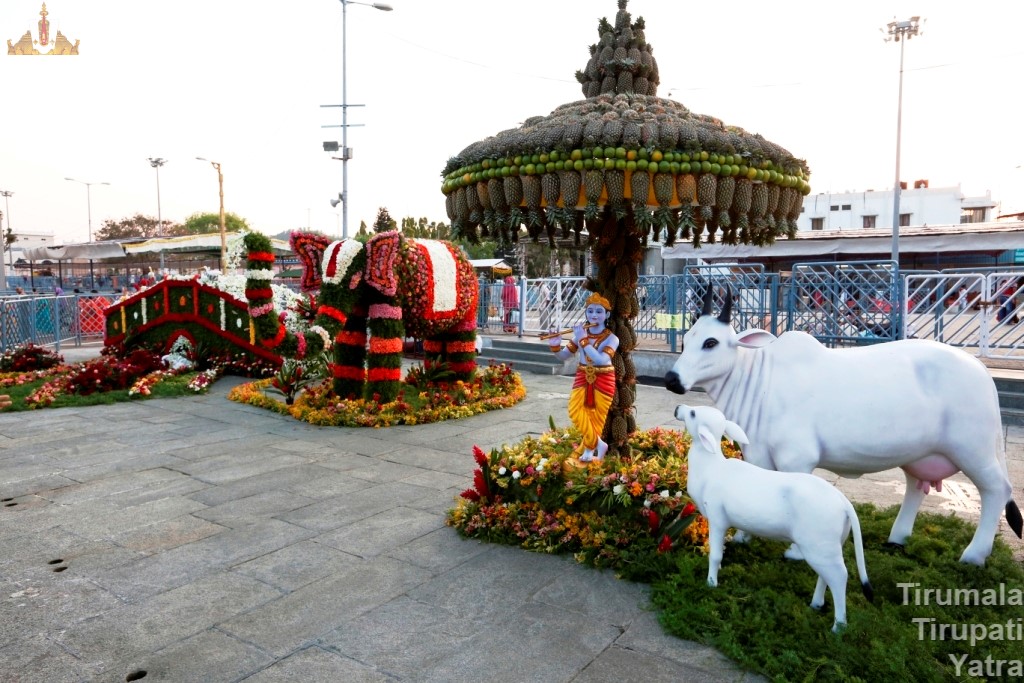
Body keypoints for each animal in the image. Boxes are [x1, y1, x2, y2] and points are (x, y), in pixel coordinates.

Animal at [243, 231, 479, 401]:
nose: (252, 241)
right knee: (436, 337)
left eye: (356, 278)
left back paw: (459, 384)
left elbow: (385, 338)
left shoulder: (393, 289)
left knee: (461, 337)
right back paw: (437, 380)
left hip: (471, 301)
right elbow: (350, 337)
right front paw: (347, 397)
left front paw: (379, 401)